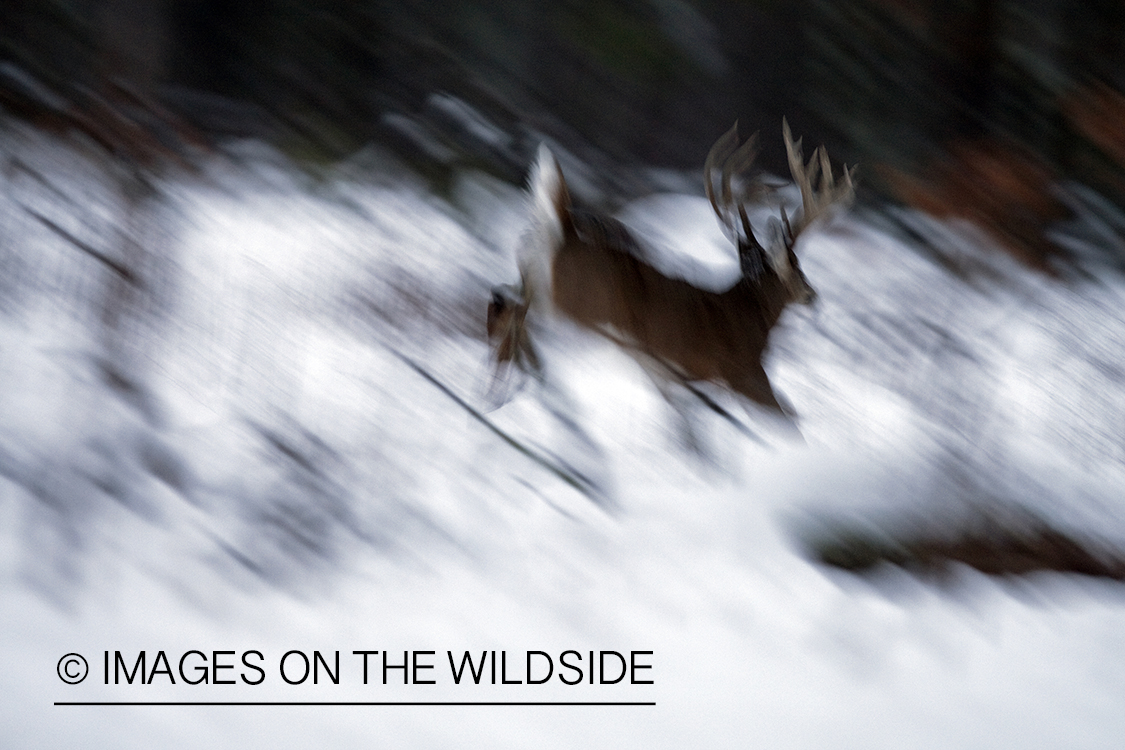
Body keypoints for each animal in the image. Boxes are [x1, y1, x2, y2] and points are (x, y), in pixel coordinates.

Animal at [488, 120, 855, 436]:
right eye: (796, 265)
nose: (812, 295)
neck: (748, 320)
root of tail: (564, 230)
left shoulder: (683, 379)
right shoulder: (743, 374)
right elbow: (787, 420)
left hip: (535, 272)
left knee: (505, 297)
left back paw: (503, 383)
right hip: (576, 304)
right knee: (520, 309)